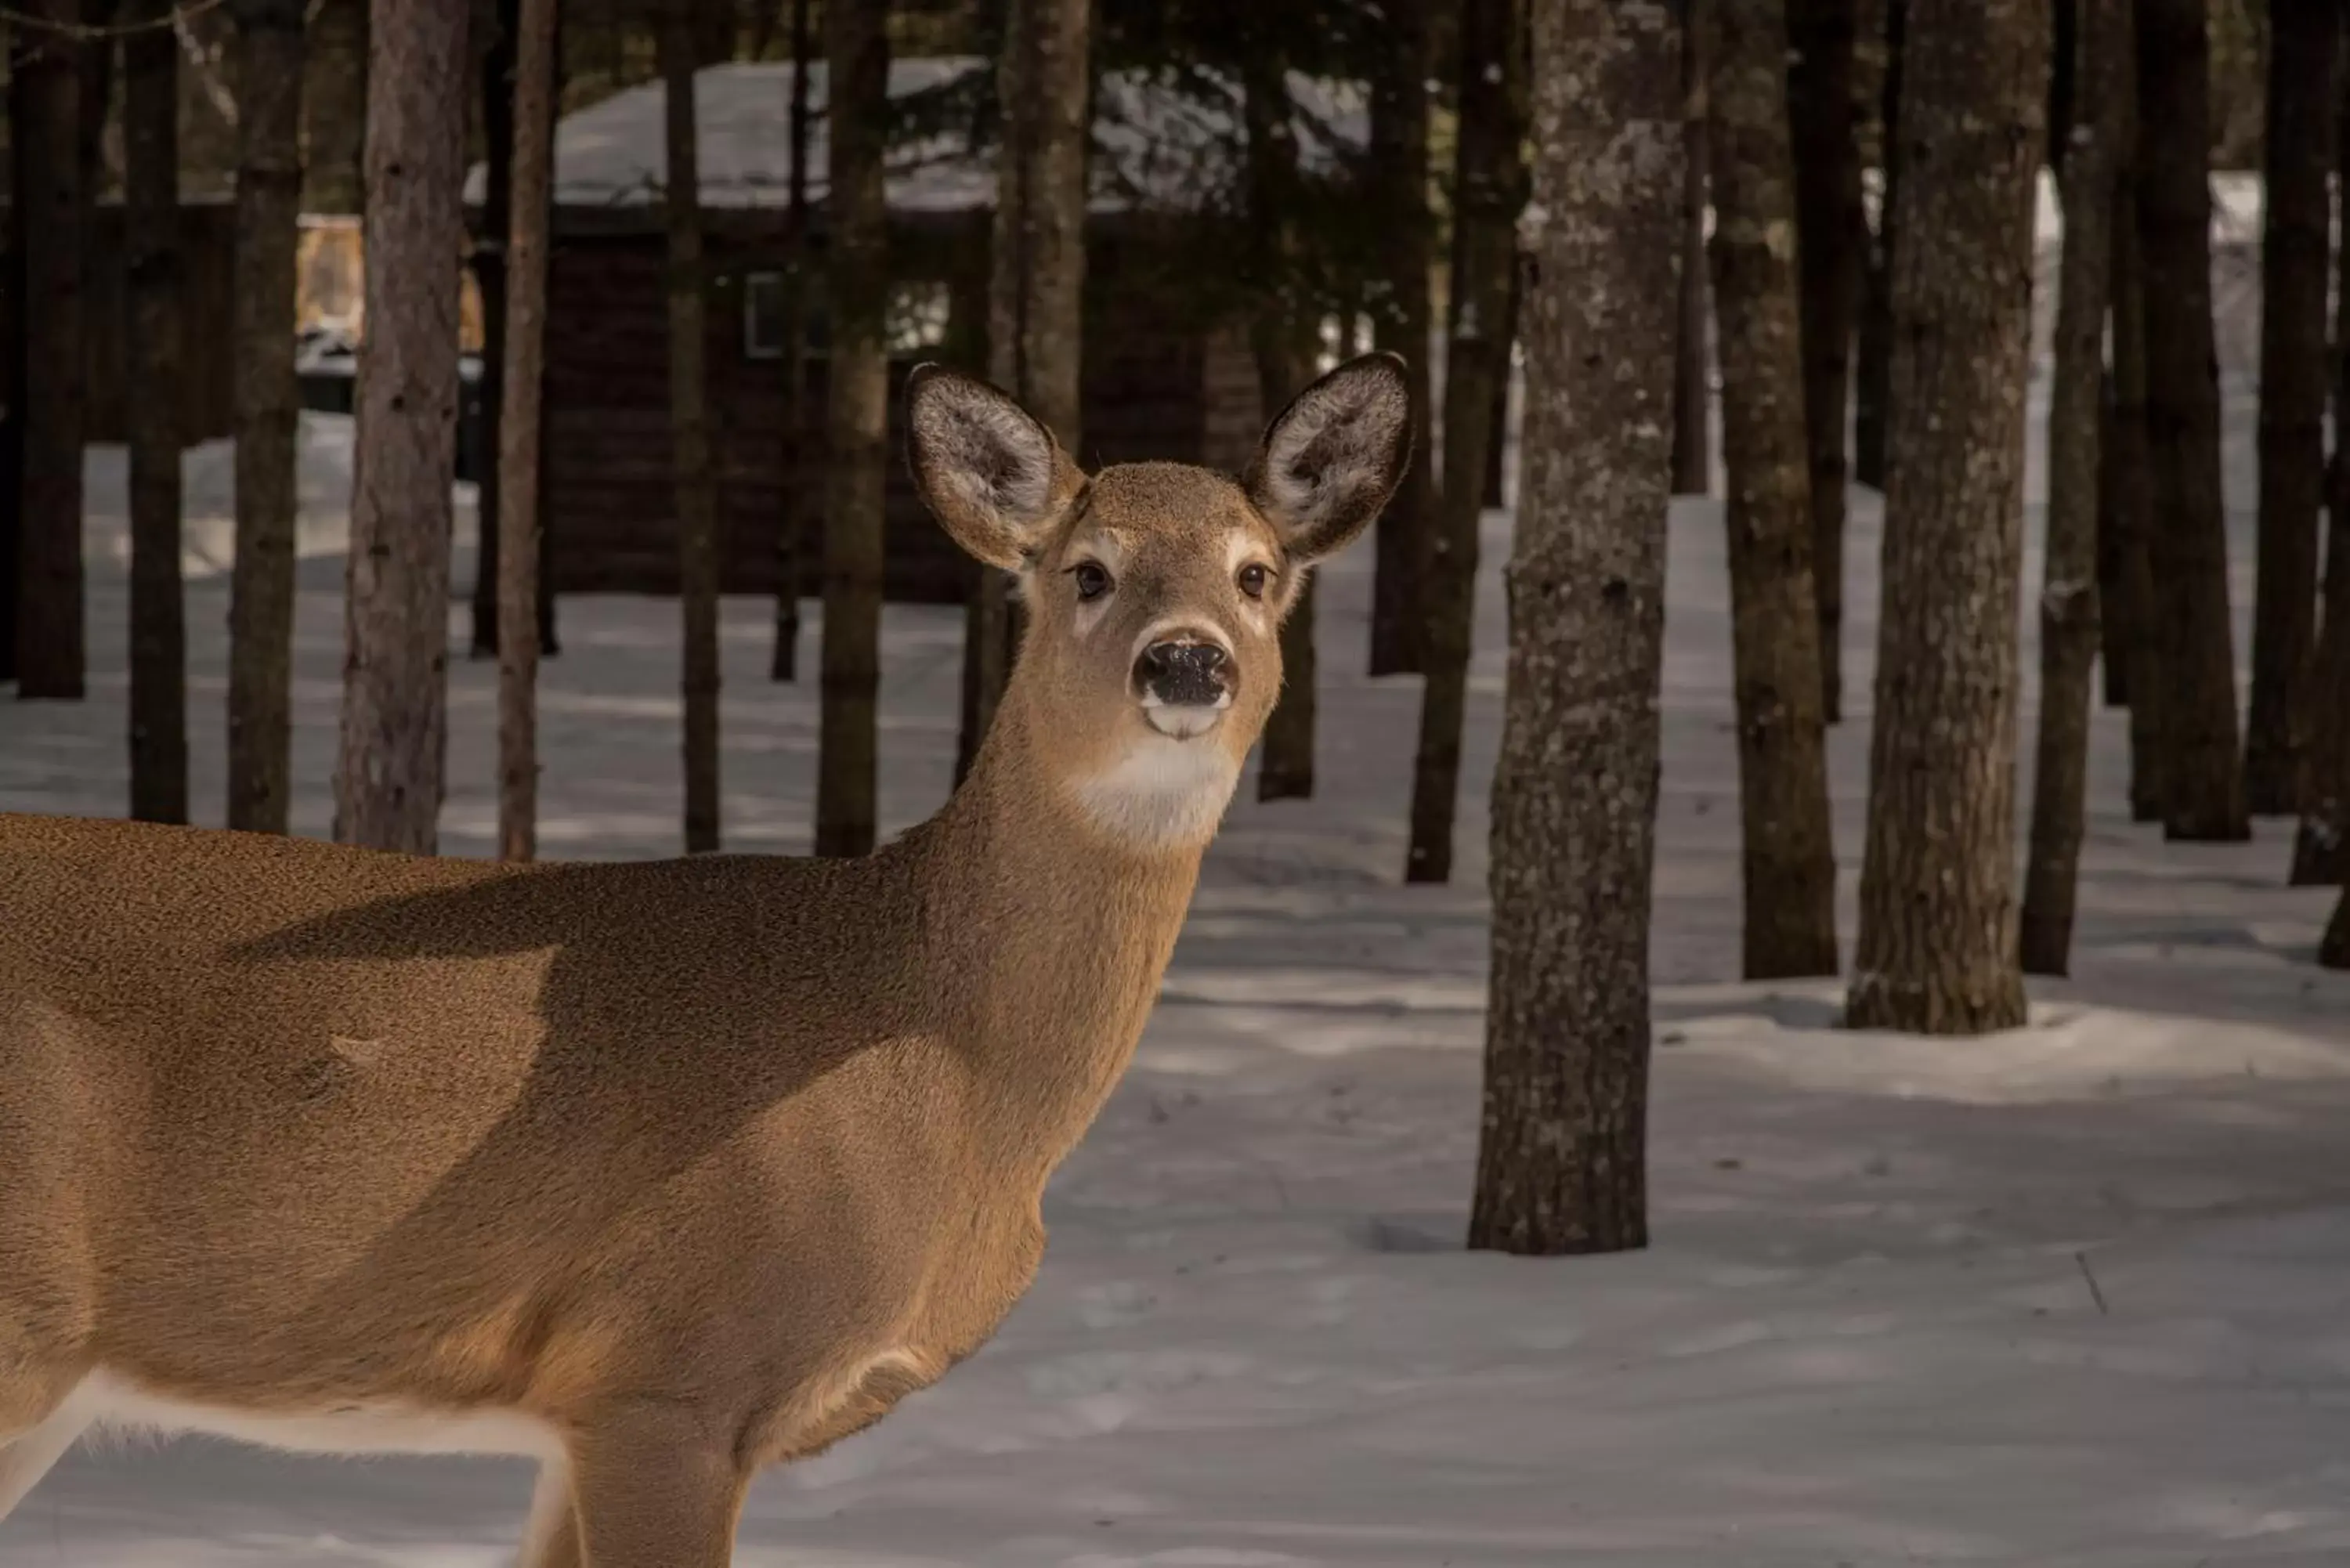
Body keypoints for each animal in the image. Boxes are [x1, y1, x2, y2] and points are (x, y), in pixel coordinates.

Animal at [0, 350, 1401, 1560]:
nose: (1188, 660)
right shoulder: (669, 1373)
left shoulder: (584, 1413)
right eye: (1089, 572)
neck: (946, 1080)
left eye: (1258, 572)